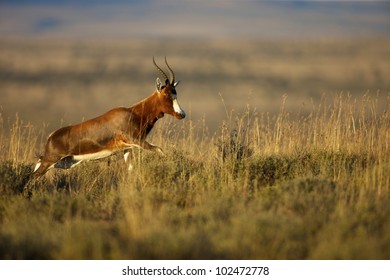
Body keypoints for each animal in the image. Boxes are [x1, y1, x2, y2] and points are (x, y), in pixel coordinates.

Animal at [33, 57, 186, 177]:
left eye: (175, 93)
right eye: (166, 94)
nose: (182, 114)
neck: (133, 113)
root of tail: (51, 136)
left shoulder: (127, 148)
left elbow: (130, 168)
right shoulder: (136, 141)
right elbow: (159, 150)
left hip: (64, 162)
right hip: (51, 160)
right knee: (34, 175)